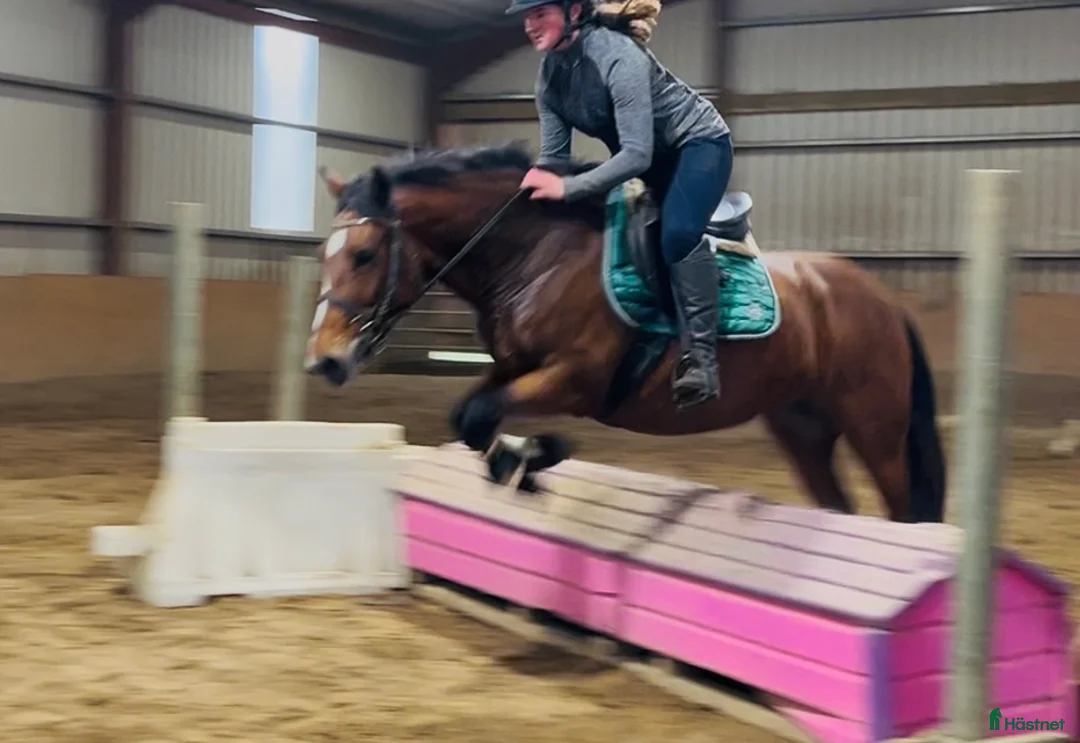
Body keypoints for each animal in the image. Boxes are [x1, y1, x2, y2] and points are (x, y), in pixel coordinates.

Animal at [304, 143, 947, 524]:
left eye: (364, 255)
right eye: (322, 255)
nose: (324, 361)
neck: (537, 253)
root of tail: (885, 300)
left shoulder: (576, 378)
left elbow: (482, 415)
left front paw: (537, 456)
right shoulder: (513, 368)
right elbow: (469, 416)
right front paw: (526, 463)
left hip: (874, 425)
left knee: (901, 505)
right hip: (803, 426)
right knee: (838, 503)